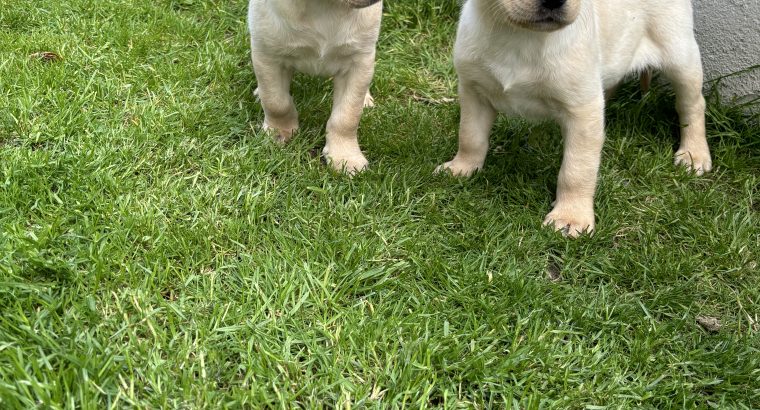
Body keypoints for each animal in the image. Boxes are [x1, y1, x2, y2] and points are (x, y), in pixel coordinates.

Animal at [248, 0, 382, 173]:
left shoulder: (359, 62)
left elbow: (347, 116)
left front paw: (345, 157)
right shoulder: (267, 55)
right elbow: (276, 103)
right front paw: (278, 133)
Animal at [440, 0, 712, 235]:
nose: (553, 1)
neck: (520, 35)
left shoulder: (582, 109)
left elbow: (576, 170)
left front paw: (571, 216)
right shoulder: (473, 90)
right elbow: (470, 137)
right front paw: (462, 168)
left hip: (680, 55)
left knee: (692, 105)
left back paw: (694, 154)